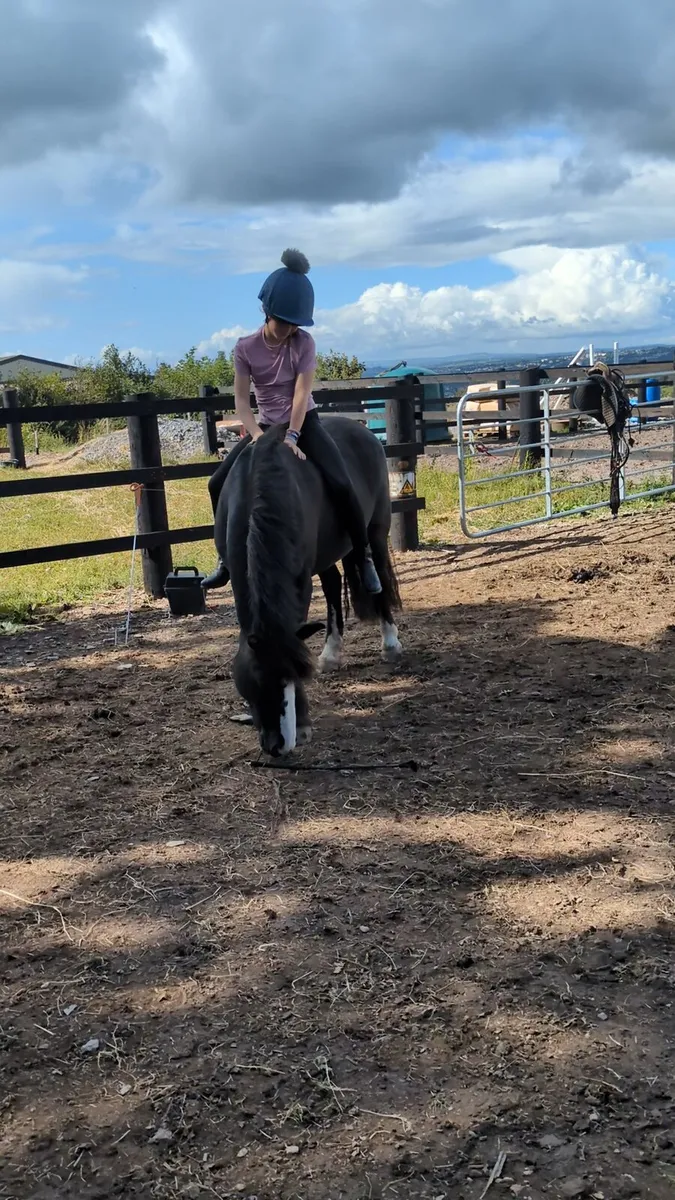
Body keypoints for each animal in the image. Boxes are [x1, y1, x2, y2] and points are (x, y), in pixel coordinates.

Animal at [214, 416, 403, 757]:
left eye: (288, 678)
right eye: (250, 686)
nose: (275, 745)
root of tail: (364, 431)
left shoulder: (298, 581)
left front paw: (302, 724)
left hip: (376, 529)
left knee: (378, 577)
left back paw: (390, 642)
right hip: (327, 553)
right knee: (332, 586)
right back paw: (331, 653)